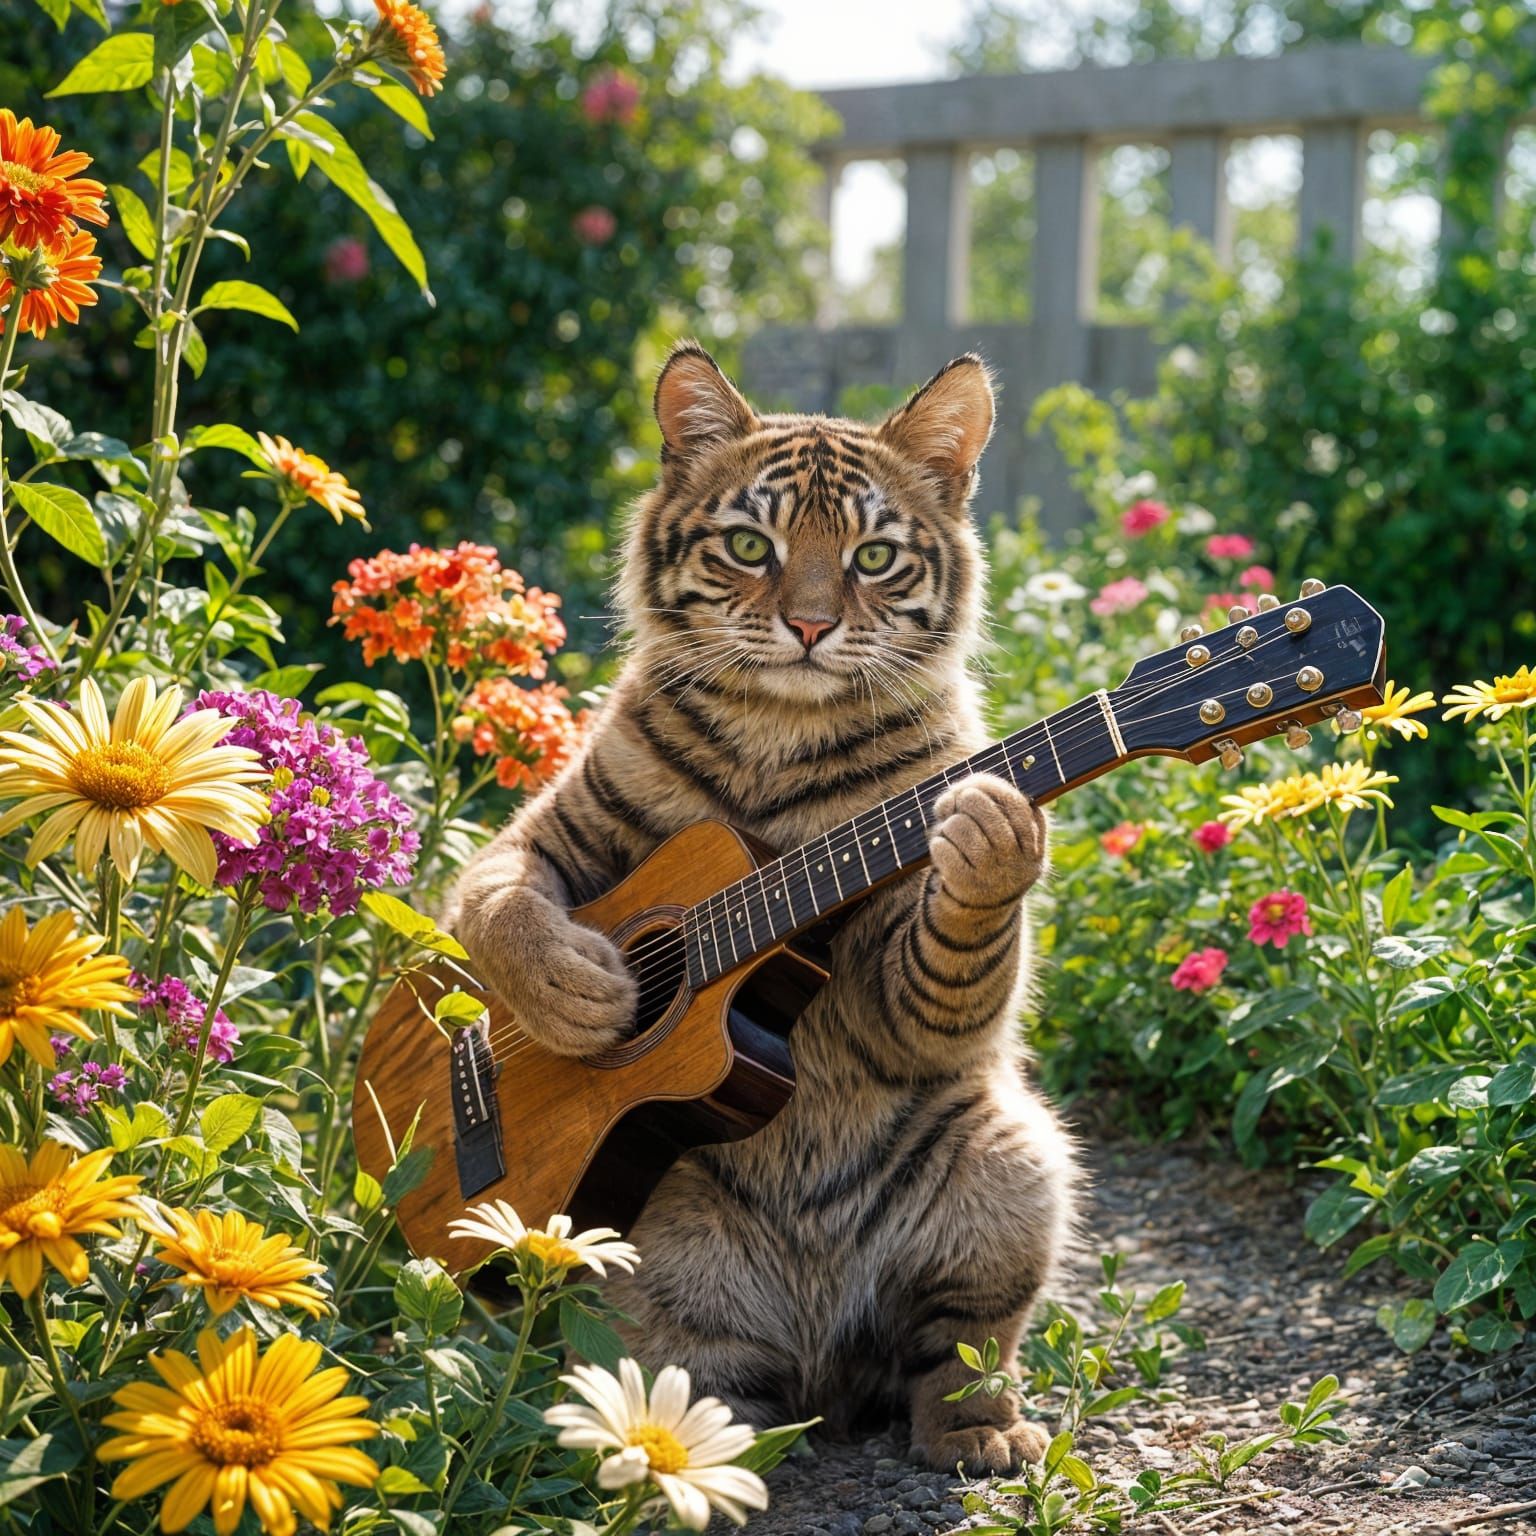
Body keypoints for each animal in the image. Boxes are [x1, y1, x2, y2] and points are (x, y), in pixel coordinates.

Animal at [448, 342, 1075, 1472]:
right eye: (751, 545)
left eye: (874, 557)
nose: (811, 627)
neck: (776, 728)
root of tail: (822, 1370)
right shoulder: (547, 832)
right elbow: (497, 903)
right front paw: (571, 996)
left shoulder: (895, 968)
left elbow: (947, 977)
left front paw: (992, 839)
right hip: (651, 1272)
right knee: (678, 1393)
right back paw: (684, 1456)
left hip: (1015, 1171)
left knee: (956, 1355)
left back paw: (984, 1437)